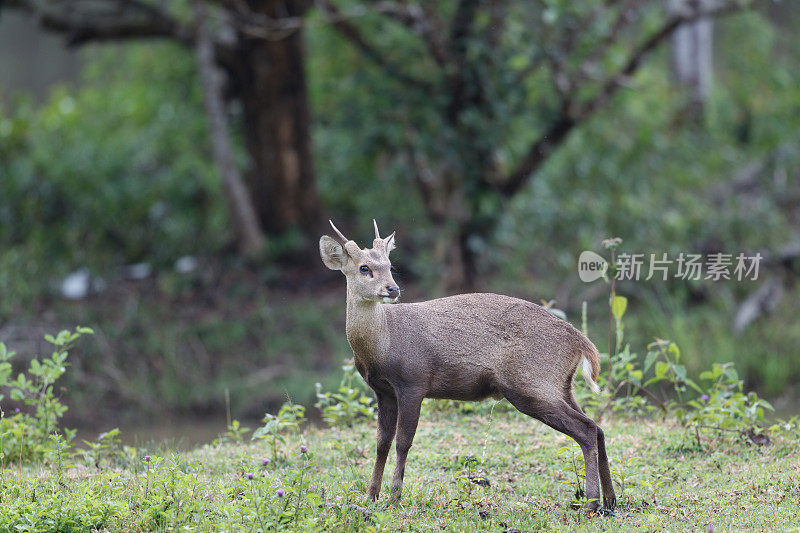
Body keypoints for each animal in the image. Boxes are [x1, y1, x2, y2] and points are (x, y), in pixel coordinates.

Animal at [320, 217, 620, 512]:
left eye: (390, 266)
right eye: (365, 268)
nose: (392, 289)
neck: (383, 343)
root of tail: (580, 340)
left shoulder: (413, 381)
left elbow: (403, 442)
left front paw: (394, 497)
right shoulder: (382, 391)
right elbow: (381, 443)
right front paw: (370, 496)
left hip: (532, 383)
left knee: (586, 429)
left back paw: (592, 503)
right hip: (560, 386)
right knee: (598, 428)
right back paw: (610, 500)